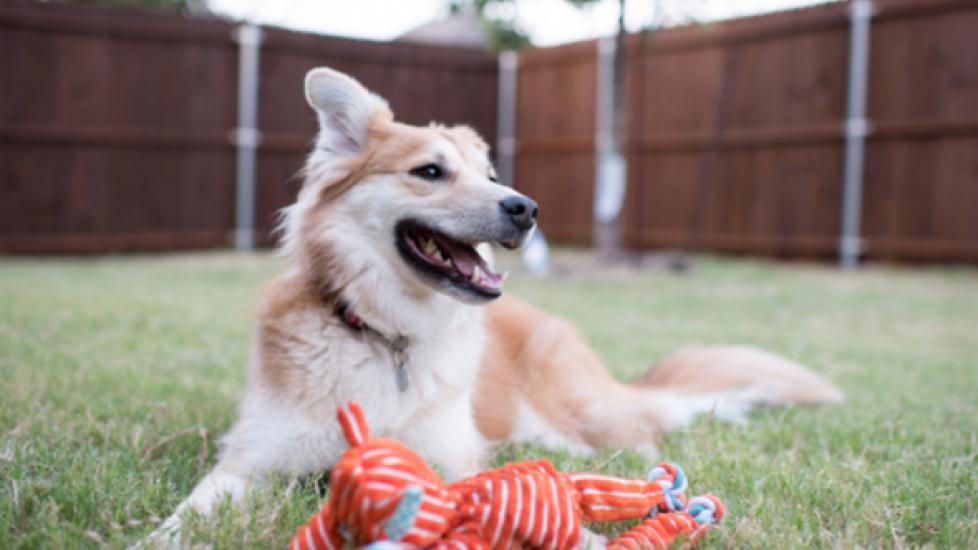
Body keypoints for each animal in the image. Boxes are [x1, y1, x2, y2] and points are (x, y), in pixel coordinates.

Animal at [141, 67, 844, 544]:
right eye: (429, 172)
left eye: (491, 176)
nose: (526, 208)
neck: (388, 337)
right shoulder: (246, 463)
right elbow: (188, 514)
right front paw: (159, 536)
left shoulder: (450, 465)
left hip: (586, 417)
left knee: (641, 434)